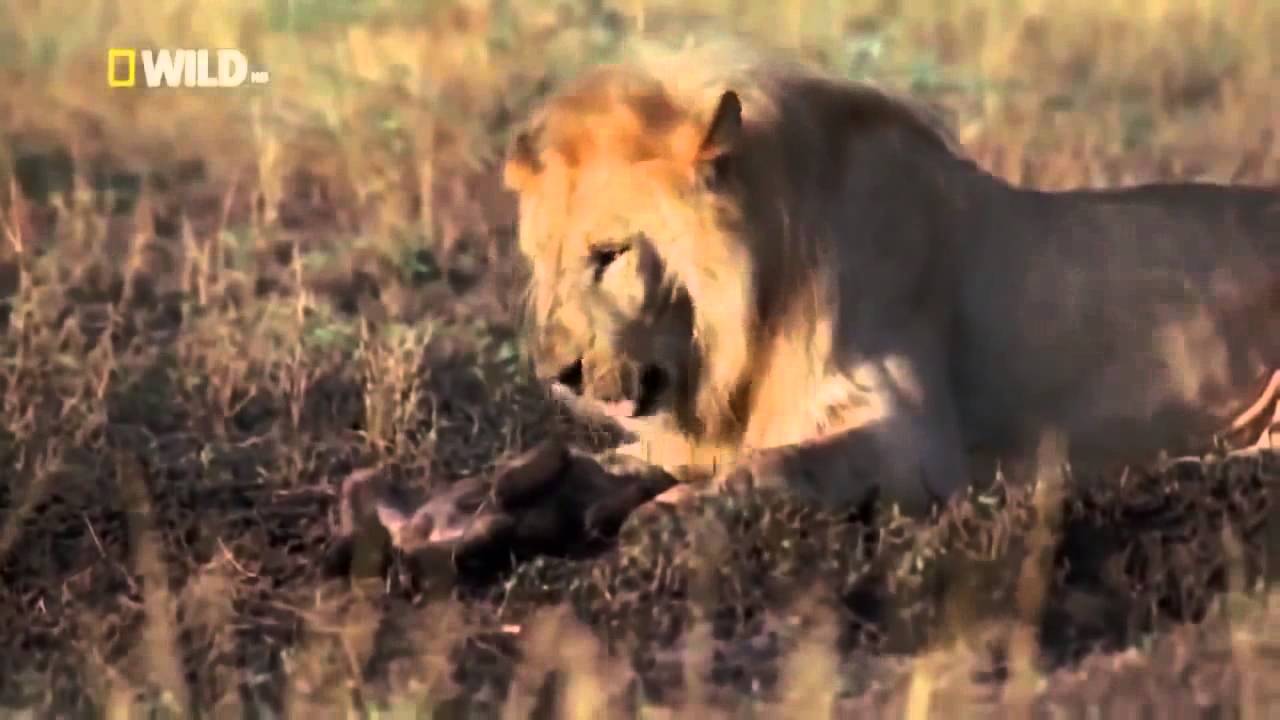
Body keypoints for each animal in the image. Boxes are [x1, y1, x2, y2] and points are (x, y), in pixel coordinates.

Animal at [334, 40, 1280, 570]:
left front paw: (664, 522)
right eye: (546, 265)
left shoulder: (916, 442)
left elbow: (779, 467)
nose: (558, 374)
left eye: (611, 256)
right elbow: (636, 463)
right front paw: (469, 513)